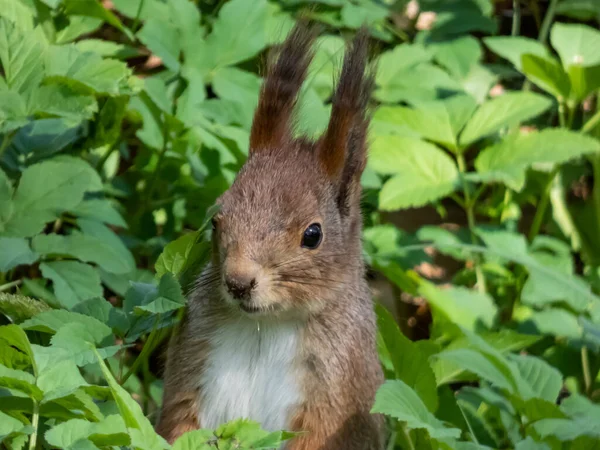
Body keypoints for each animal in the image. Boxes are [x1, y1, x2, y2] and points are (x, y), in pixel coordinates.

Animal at [156, 22, 384, 448]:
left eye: (313, 234)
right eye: (216, 219)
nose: (238, 282)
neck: (268, 326)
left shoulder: (338, 386)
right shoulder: (194, 354)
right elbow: (176, 424)